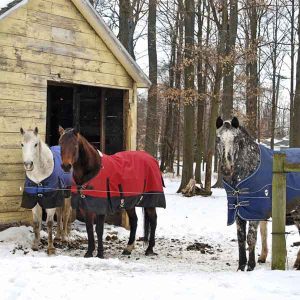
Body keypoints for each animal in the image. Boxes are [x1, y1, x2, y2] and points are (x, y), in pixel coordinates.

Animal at [58, 126, 166, 258]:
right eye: (60, 144)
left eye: (75, 145)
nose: (66, 166)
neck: (93, 171)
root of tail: (152, 159)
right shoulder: (85, 207)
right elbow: (89, 229)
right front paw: (89, 252)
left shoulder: (101, 207)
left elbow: (99, 230)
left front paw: (100, 254)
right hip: (129, 202)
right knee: (134, 221)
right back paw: (128, 248)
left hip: (150, 201)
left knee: (153, 220)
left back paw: (149, 249)